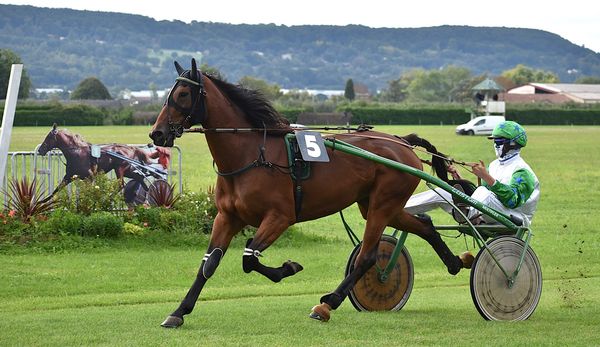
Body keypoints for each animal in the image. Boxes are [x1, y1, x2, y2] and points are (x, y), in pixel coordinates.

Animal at [148, 58, 466, 328]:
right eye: (169, 92)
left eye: (183, 94)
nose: (157, 133)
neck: (252, 155)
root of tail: (402, 141)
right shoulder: (227, 217)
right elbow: (209, 264)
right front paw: (178, 312)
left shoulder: (280, 217)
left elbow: (249, 258)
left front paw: (288, 267)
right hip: (377, 204)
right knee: (424, 225)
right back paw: (454, 262)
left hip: (382, 205)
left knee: (367, 256)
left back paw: (328, 304)